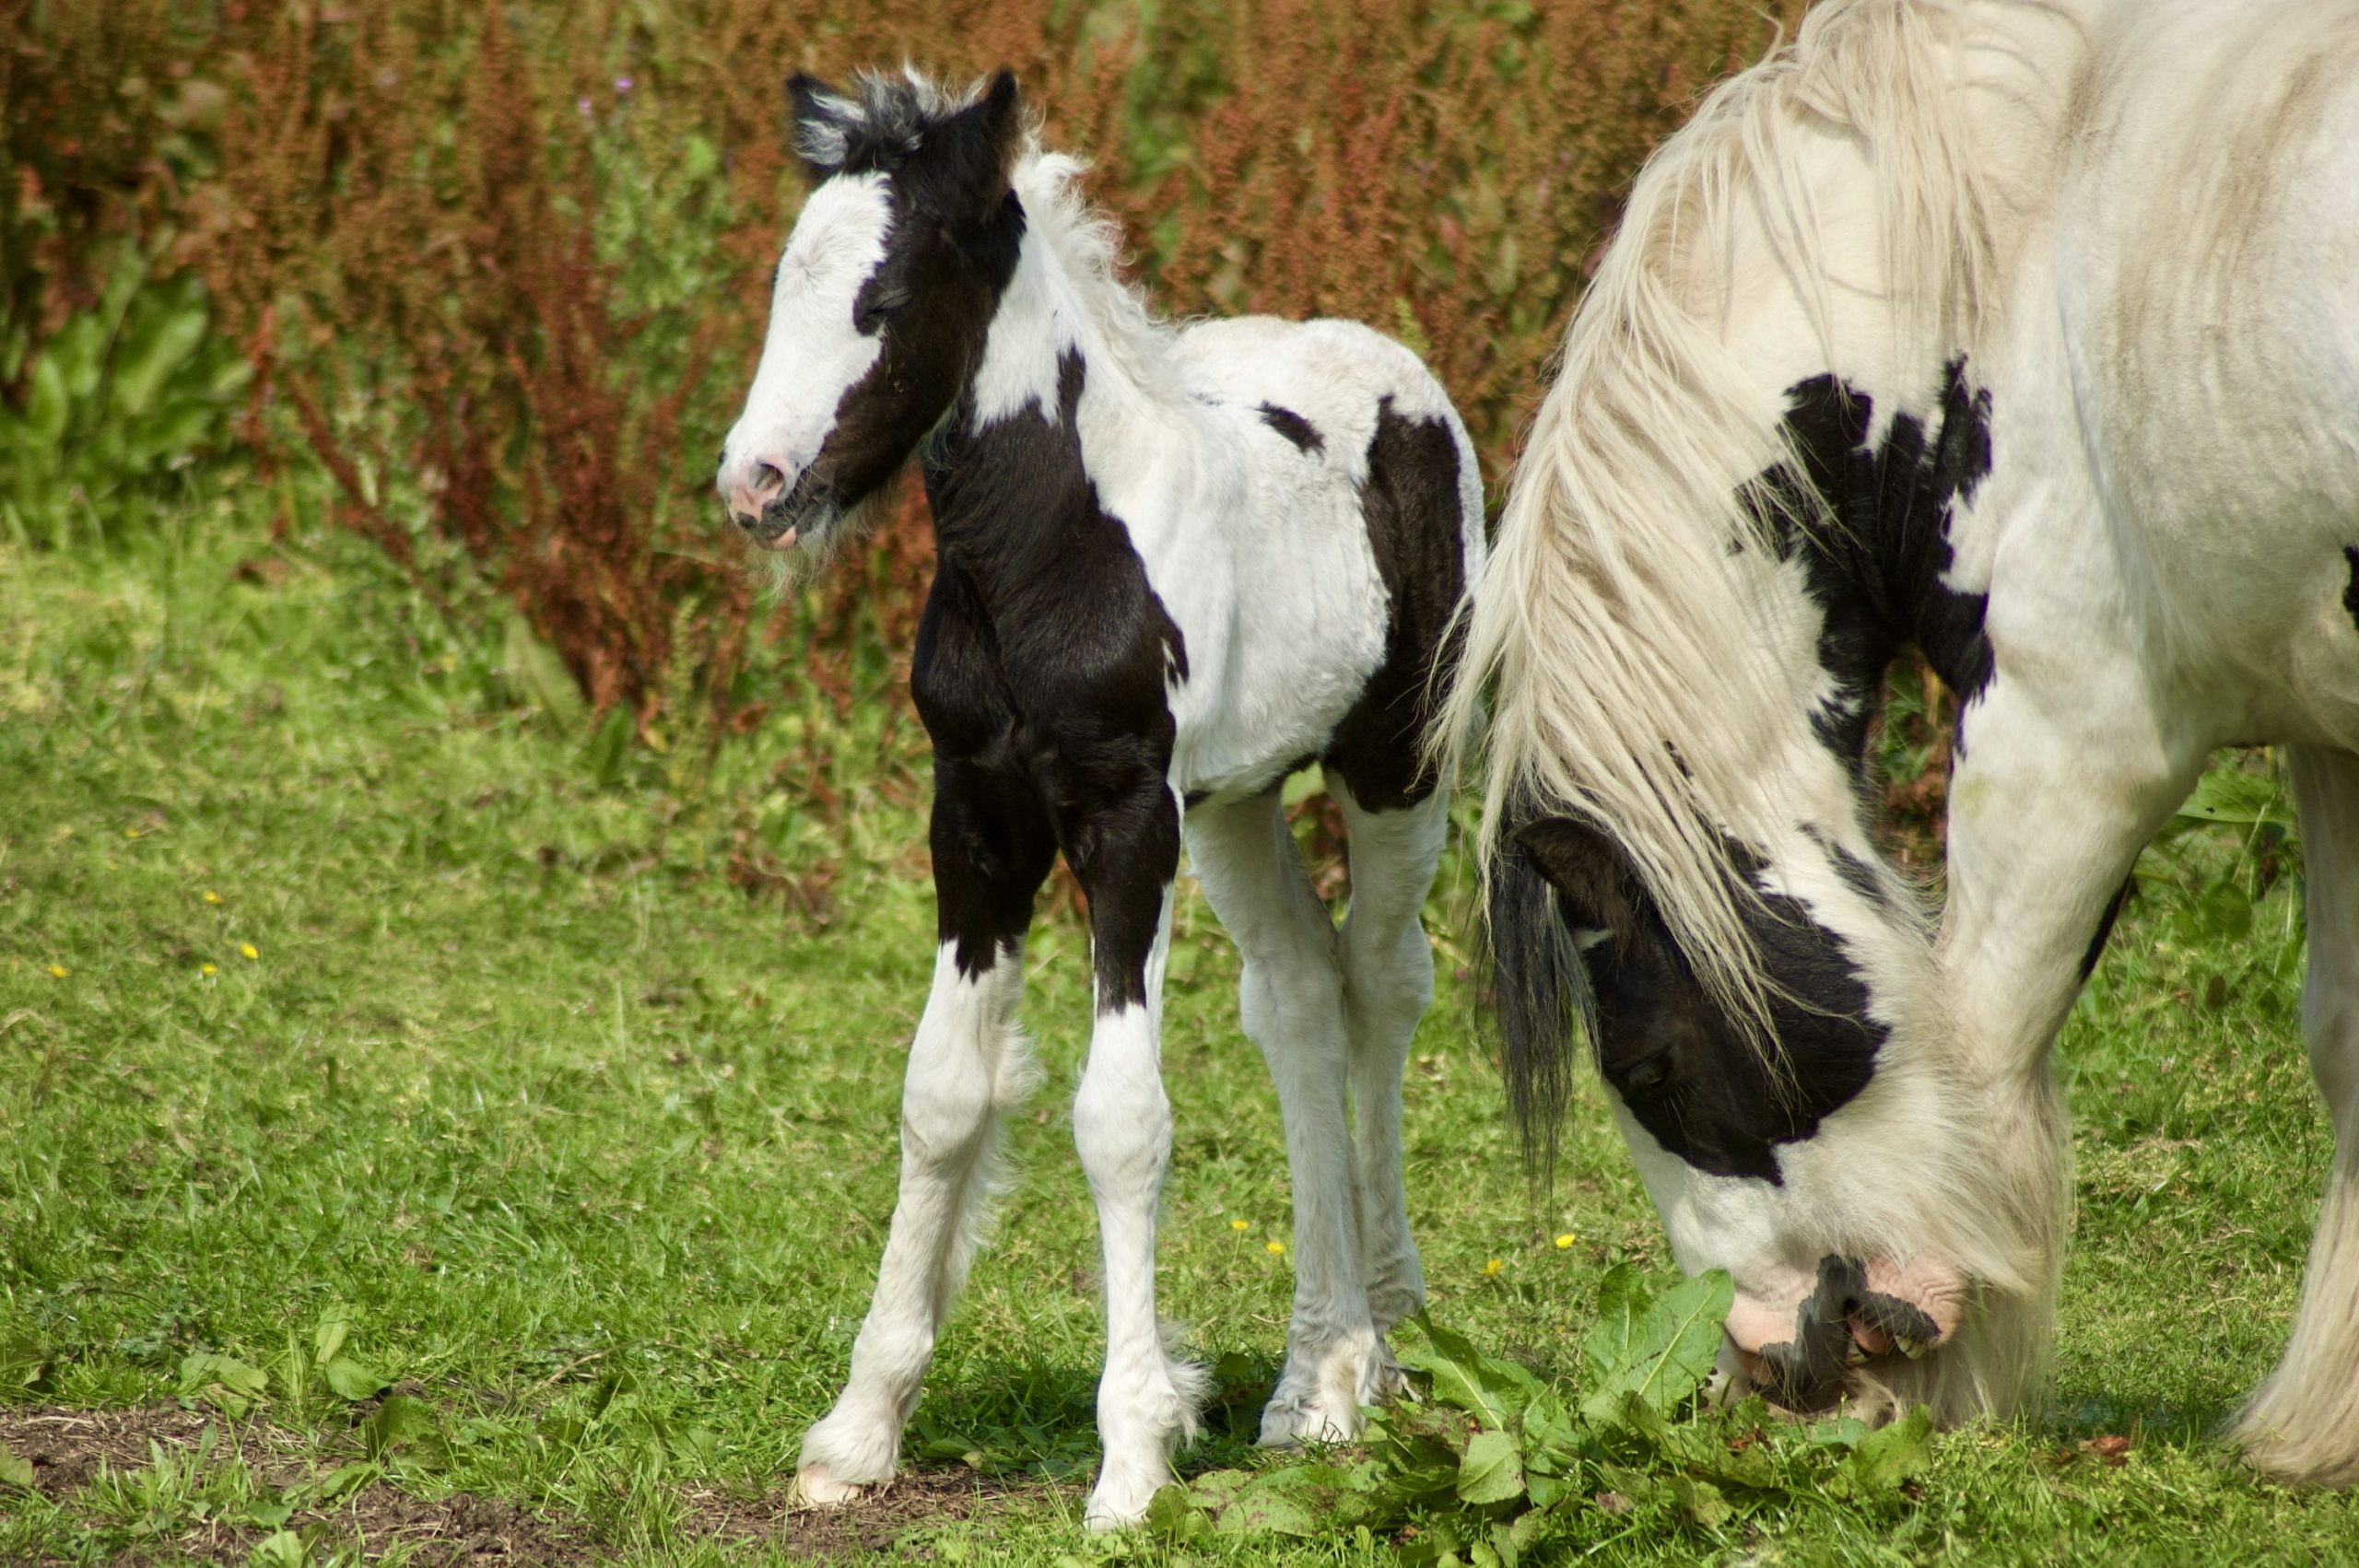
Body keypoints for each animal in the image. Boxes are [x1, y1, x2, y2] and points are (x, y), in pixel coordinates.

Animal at [715, 70, 1485, 1527]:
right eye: (785, 284)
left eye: (884, 300)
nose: (755, 483)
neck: (1057, 550)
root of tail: (1393, 364)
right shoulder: (978, 818)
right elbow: (941, 1092)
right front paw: (858, 1428)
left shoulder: (1126, 820)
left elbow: (1121, 1119)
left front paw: (1131, 1456)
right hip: (1235, 802)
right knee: (1299, 1001)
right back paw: (1309, 1383)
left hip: (1391, 765)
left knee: (1383, 984)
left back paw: (1382, 1341)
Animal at [1447, 0, 2359, 1481]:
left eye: (1644, 1067)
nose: (1777, 1364)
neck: (2017, 241)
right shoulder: (2326, 719)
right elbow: (2344, 1036)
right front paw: (2322, 1426)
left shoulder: (2072, 725)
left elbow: (1980, 1026)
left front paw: (1936, 1375)